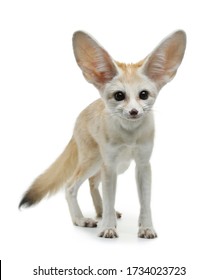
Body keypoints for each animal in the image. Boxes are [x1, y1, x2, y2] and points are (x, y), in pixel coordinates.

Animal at [18, 30, 186, 238]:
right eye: (119, 96)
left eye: (144, 95)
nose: (133, 112)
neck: (129, 137)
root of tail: (84, 111)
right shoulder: (110, 165)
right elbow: (109, 198)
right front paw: (107, 227)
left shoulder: (142, 164)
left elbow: (145, 202)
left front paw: (146, 227)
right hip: (94, 161)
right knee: (70, 186)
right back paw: (81, 219)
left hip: (118, 165)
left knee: (92, 183)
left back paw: (100, 212)